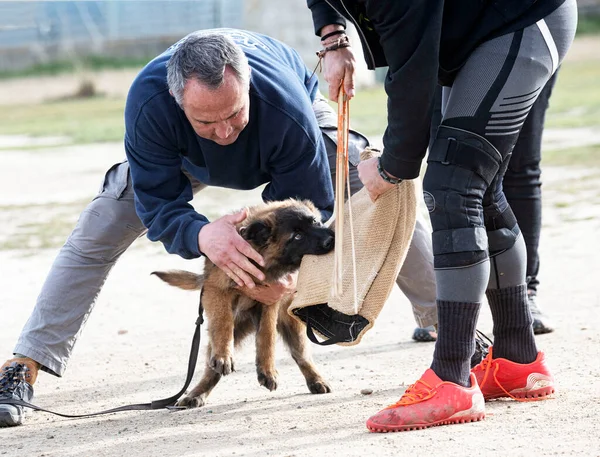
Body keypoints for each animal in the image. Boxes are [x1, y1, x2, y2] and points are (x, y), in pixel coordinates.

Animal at [152, 200, 336, 406]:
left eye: (315, 222)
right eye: (297, 236)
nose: (331, 239)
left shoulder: (270, 300)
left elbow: (267, 334)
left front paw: (267, 371)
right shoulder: (217, 291)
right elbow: (224, 323)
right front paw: (224, 356)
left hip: (292, 328)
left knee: (301, 356)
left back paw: (317, 380)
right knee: (212, 367)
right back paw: (196, 394)